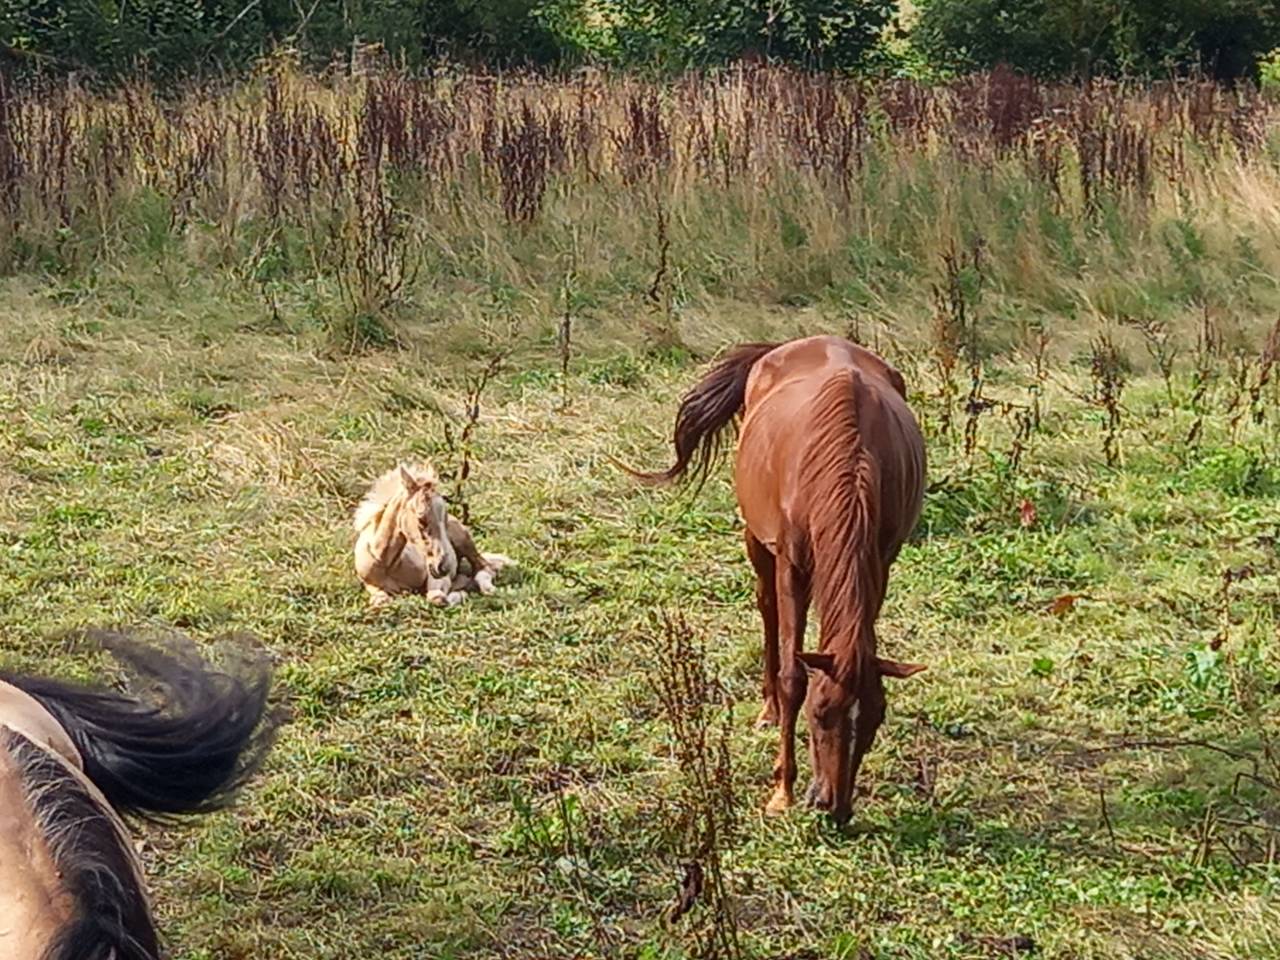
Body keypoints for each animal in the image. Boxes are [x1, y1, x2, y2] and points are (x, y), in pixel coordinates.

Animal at [353, 462, 513, 607]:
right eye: (421, 519)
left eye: (445, 517)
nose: (444, 566)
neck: (387, 563)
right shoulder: (371, 585)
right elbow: (381, 600)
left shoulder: (438, 577)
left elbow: (437, 598)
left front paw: (460, 593)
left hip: (464, 541)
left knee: (485, 568)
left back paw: (487, 588)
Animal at [629, 335, 927, 824]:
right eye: (821, 714)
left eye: (875, 719)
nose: (835, 807)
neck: (852, 460)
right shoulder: (792, 564)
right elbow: (794, 676)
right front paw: (781, 791)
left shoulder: (881, 561)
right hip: (758, 540)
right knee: (767, 608)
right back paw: (768, 707)